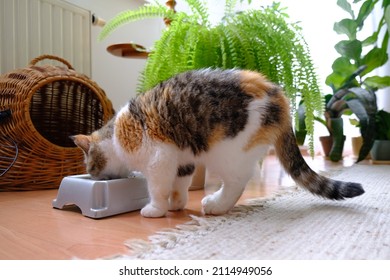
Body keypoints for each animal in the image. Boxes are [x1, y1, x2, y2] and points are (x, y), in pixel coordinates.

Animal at [71, 69, 364, 218]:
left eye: (91, 167)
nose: (93, 176)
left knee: (237, 181)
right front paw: (177, 204)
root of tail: (278, 95)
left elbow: (158, 188)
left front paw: (155, 209)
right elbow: (180, 184)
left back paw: (216, 204)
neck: (116, 134)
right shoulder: (182, 160)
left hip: (226, 151)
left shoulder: (159, 159)